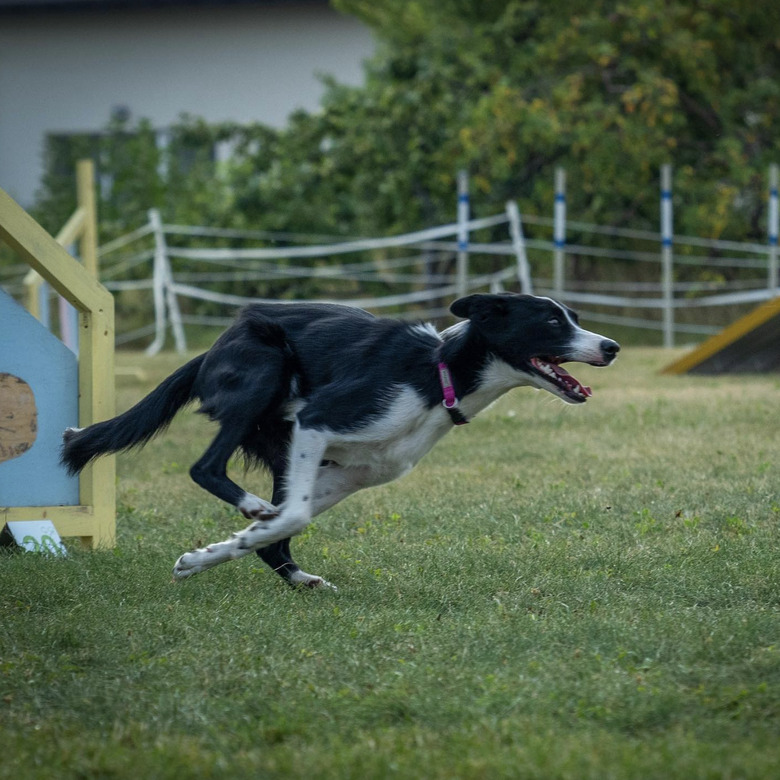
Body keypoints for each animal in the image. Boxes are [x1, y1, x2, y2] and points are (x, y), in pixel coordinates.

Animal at [61, 292, 620, 584]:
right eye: (552, 320)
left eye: (572, 316)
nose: (612, 346)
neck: (438, 371)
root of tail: (214, 346)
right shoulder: (320, 419)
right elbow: (290, 517)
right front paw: (225, 543)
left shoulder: (351, 472)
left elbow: (279, 527)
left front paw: (204, 556)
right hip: (264, 370)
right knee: (207, 468)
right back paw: (252, 508)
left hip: (283, 447)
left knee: (272, 524)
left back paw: (294, 574)